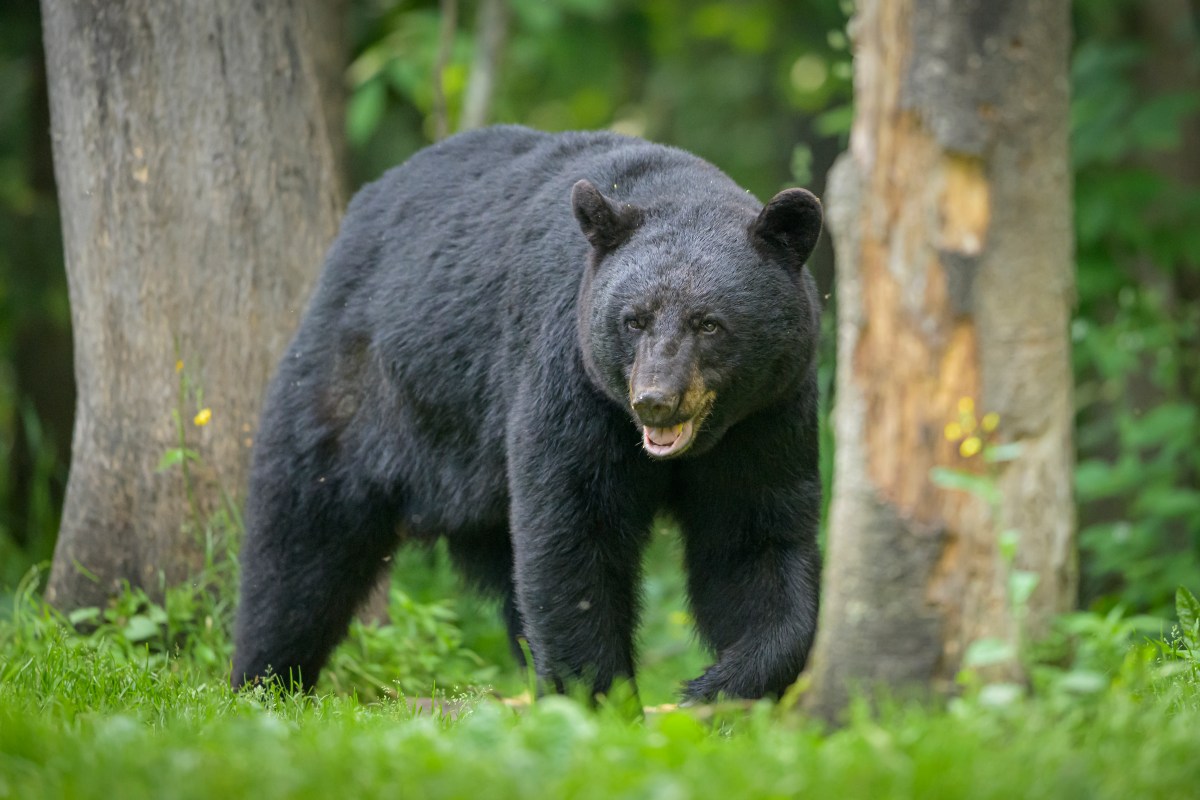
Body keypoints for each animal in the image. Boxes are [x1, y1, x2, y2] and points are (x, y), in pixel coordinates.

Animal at [231, 125, 823, 703]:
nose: (655, 399)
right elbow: (572, 531)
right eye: (634, 319)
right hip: (358, 390)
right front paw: (599, 697)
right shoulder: (571, 379)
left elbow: (754, 540)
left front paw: (721, 684)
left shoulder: (766, 416)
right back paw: (265, 681)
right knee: (301, 543)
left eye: (709, 323)